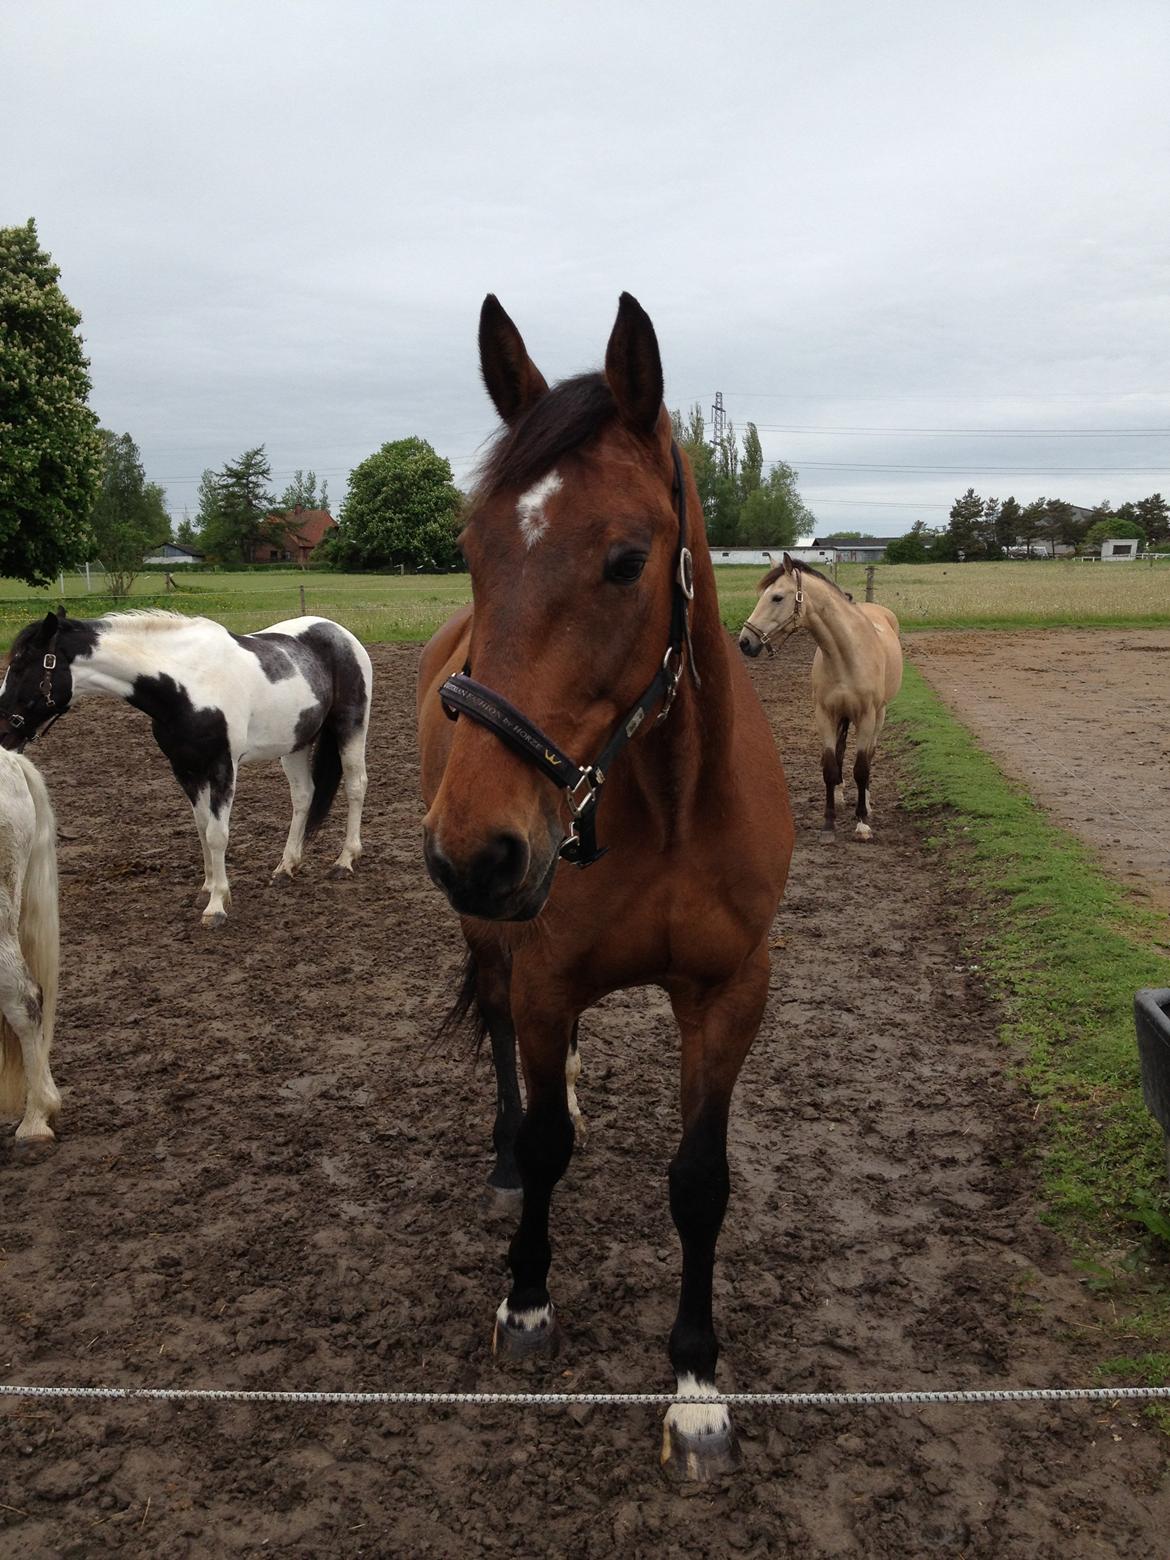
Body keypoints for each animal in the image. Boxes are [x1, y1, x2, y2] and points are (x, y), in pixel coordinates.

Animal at [0, 608, 372, 923]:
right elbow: (202, 828)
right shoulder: (184, 769)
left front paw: (217, 906)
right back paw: (286, 866)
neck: (186, 684)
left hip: (350, 727)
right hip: (295, 743)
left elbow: (218, 834)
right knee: (304, 796)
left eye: (20, 667)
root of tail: (339, 633)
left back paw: (345, 860)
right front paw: (207, 889)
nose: (4, 733)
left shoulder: (222, 767)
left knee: (356, 786)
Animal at [421, 293, 798, 1472]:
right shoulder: (544, 971)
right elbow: (545, 1142)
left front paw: (697, 1386)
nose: (475, 848)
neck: (669, 804)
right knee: (506, 1043)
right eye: (472, 549)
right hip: (492, 937)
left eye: (628, 561)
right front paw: (527, 1302)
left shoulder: (729, 994)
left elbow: (700, 1183)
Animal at [742, 555, 904, 836]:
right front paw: (829, 822)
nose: (745, 641)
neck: (847, 655)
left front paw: (862, 821)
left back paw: (867, 803)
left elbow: (861, 768)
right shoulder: (825, 714)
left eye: (777, 597)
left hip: (879, 716)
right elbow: (830, 765)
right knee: (840, 753)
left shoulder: (866, 716)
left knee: (869, 756)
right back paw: (839, 796)